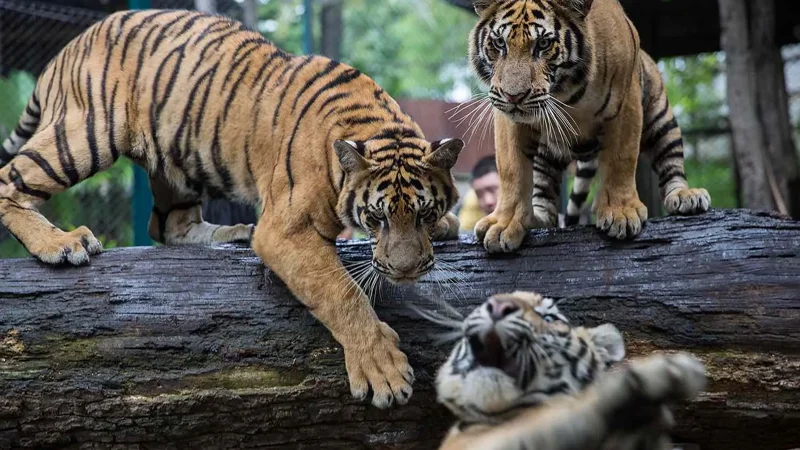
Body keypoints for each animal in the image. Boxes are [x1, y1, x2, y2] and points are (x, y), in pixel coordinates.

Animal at [0, 9, 466, 409]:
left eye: (423, 213)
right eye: (376, 217)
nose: (406, 271)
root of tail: (69, 47)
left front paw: (448, 224)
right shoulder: (285, 230)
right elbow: (342, 293)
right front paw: (383, 371)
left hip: (177, 157)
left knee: (167, 224)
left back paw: (231, 233)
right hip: (87, 132)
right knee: (9, 180)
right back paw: (61, 243)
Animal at [467, 0, 711, 252]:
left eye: (543, 44)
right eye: (499, 43)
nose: (514, 96)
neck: (565, 92)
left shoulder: (627, 101)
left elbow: (621, 159)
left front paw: (621, 213)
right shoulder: (507, 115)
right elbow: (511, 170)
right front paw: (505, 223)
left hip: (660, 119)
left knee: (671, 161)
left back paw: (685, 196)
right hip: (547, 152)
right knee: (544, 191)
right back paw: (538, 218)